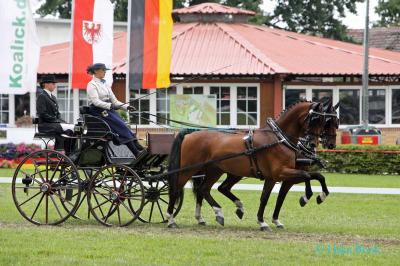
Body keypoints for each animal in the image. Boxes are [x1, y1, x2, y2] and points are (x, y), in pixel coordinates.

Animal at [166, 101, 328, 230]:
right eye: (315, 119)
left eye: (323, 121)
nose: (313, 143)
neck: (278, 139)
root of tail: (189, 134)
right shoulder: (280, 173)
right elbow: (306, 176)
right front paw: (306, 197)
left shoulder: (275, 177)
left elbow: (316, 176)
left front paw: (321, 195)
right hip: (188, 169)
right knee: (176, 189)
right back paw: (170, 219)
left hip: (215, 170)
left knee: (204, 189)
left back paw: (219, 213)